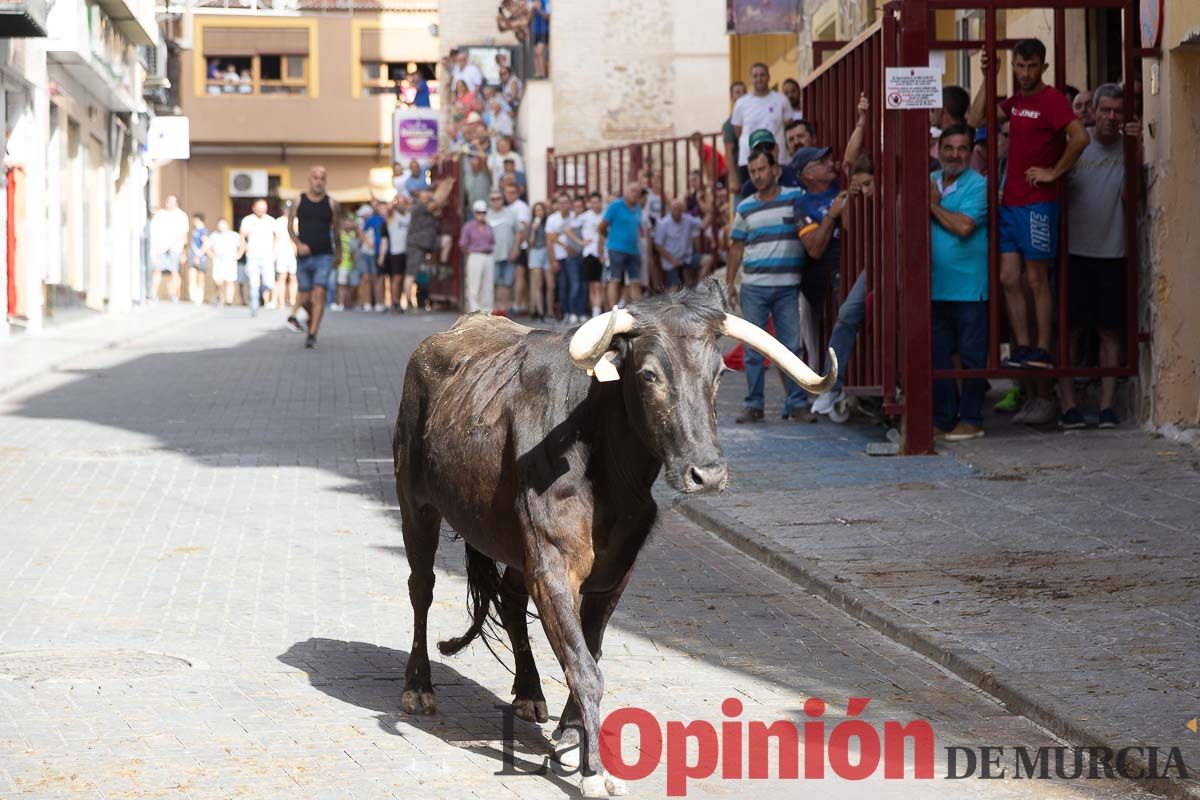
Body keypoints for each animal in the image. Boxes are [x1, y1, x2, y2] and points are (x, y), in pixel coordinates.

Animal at [393, 280, 835, 796]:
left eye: (719, 372)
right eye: (648, 374)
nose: (707, 475)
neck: (605, 463)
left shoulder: (612, 573)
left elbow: (592, 652)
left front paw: (568, 739)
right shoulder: (553, 567)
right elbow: (585, 669)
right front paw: (593, 770)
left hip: (513, 544)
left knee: (508, 598)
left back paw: (529, 693)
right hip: (415, 505)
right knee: (421, 588)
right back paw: (418, 687)